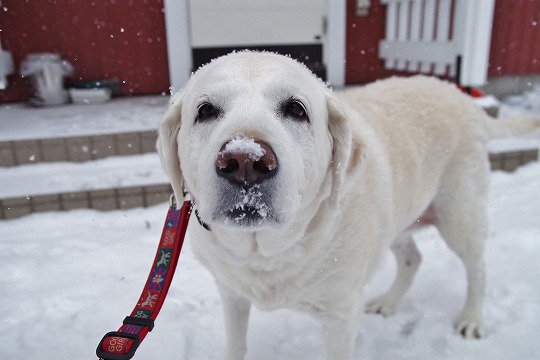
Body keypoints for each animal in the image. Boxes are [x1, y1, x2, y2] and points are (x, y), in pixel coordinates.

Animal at [156, 51, 540, 360]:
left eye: (296, 109)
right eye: (205, 110)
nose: (245, 161)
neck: (265, 253)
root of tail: (460, 95)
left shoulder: (341, 315)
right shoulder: (231, 294)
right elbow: (236, 344)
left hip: (460, 214)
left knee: (478, 269)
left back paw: (472, 320)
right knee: (413, 258)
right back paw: (388, 302)